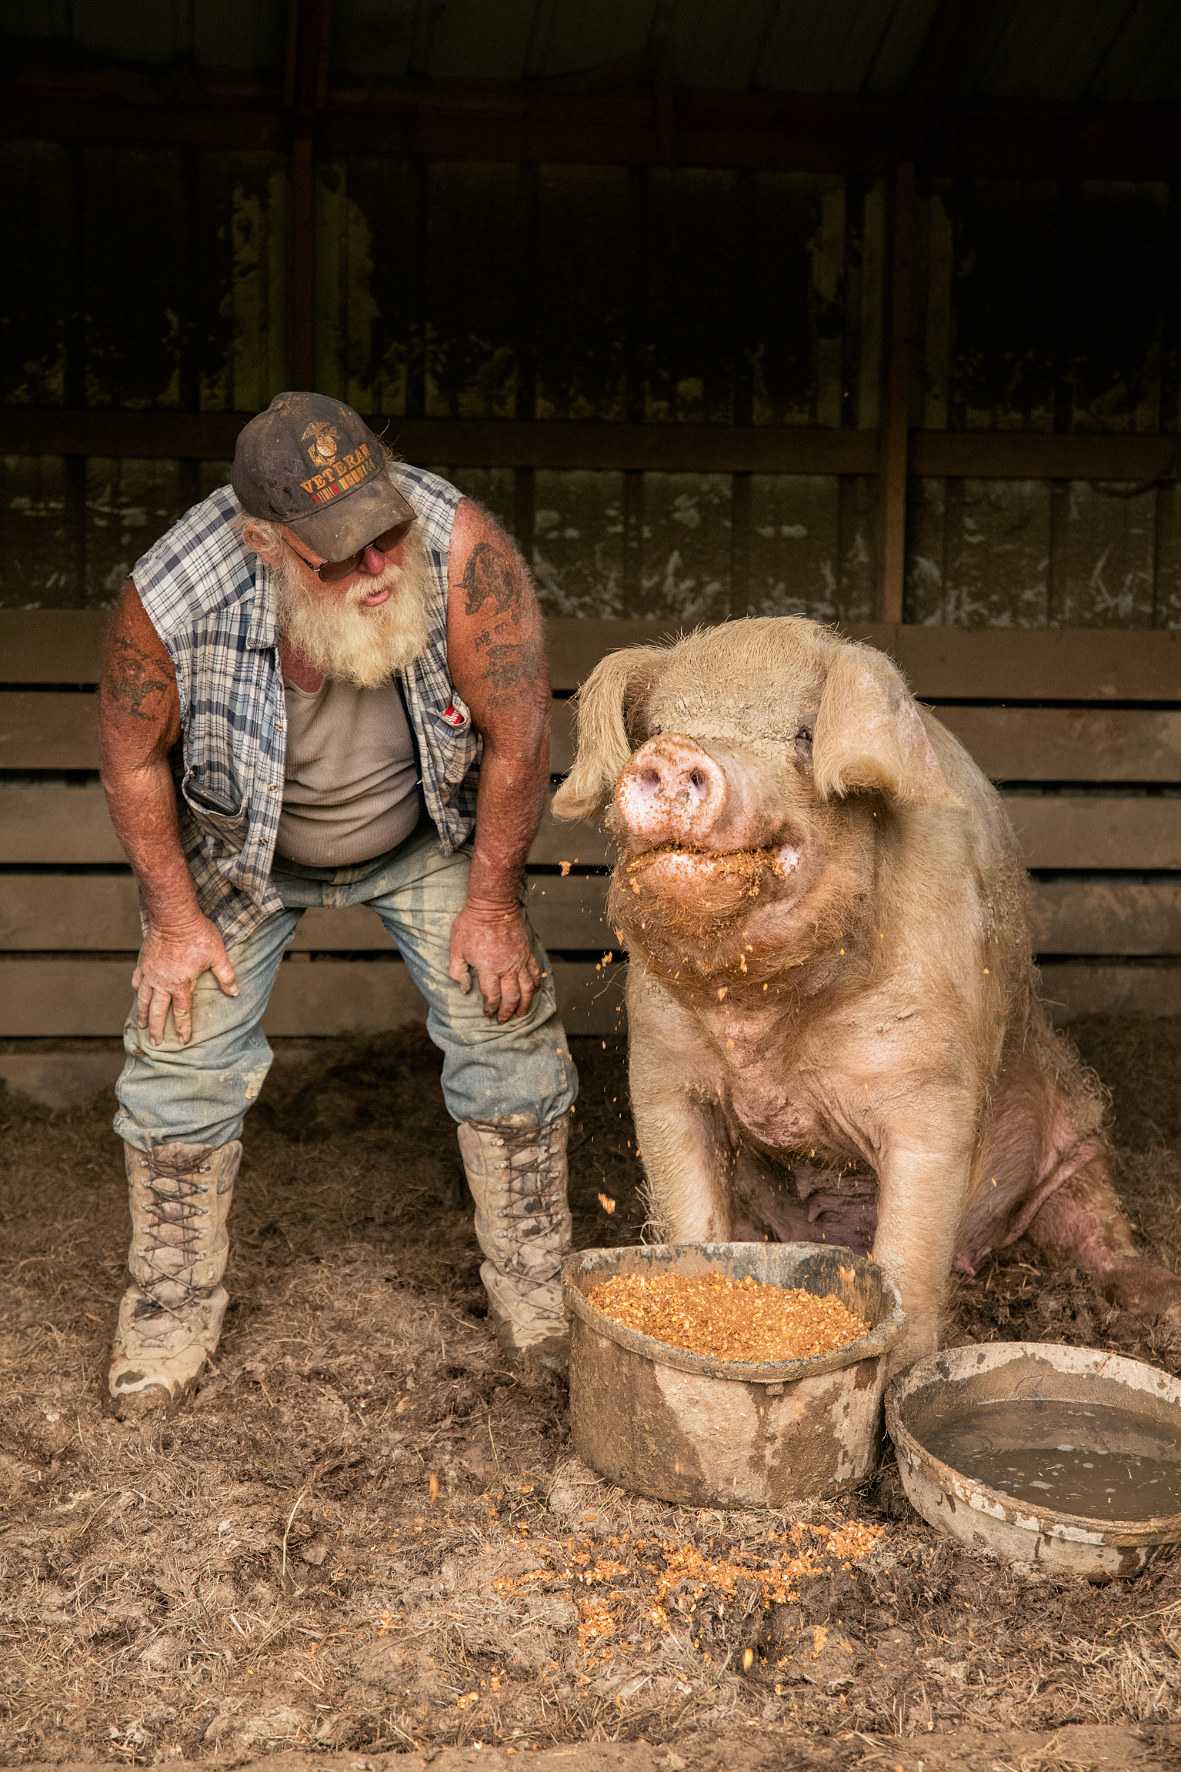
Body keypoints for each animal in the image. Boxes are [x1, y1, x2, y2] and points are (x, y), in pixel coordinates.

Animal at [553, 616, 1177, 1360]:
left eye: (803, 735)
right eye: (654, 726)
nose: (676, 752)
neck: (761, 1021)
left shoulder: (932, 1089)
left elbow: (911, 1247)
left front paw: (898, 1368)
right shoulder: (662, 1075)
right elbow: (691, 1216)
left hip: (1078, 1128)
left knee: (1095, 1224)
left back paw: (1162, 1300)